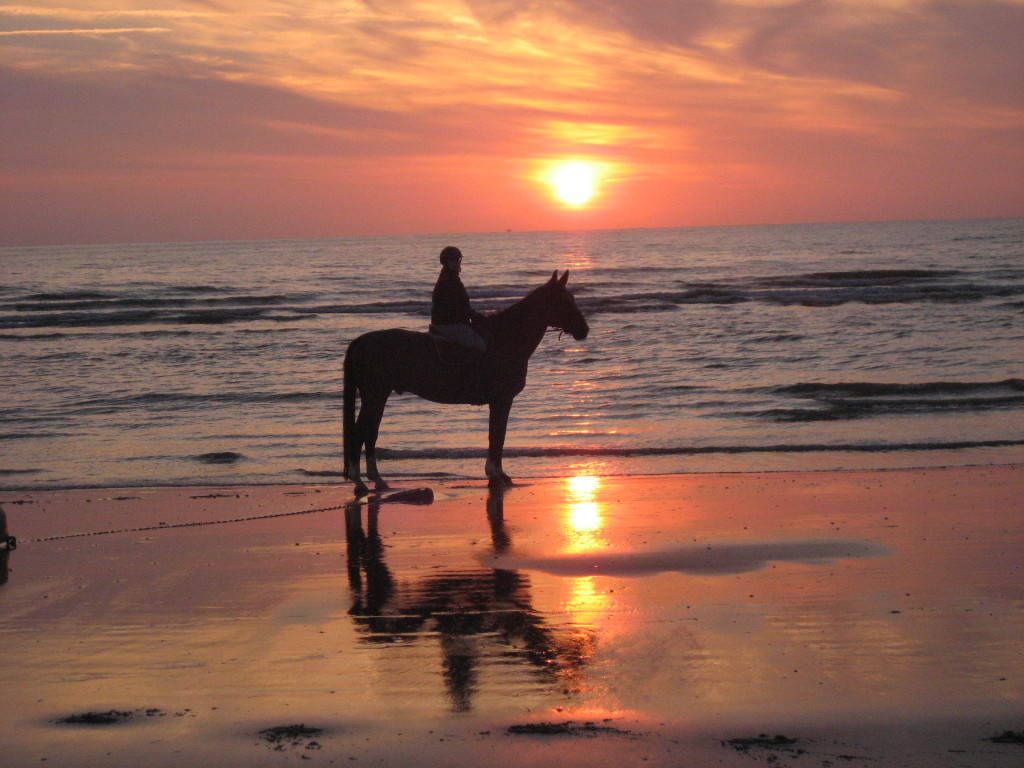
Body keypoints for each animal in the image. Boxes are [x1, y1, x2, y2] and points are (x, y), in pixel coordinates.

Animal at [342, 270, 589, 495]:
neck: (506, 339)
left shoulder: (500, 401)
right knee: (360, 433)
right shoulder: (502, 400)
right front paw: (495, 474)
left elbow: (497, 436)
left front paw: (499, 474)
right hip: (375, 396)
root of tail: (361, 341)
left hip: (378, 397)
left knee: (370, 433)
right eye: (565, 300)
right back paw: (359, 482)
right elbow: (497, 435)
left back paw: (377, 480)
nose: (584, 330)